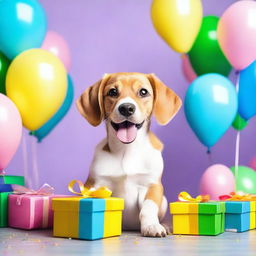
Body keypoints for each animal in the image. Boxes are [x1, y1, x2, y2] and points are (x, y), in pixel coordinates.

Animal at [76, 72, 182, 236]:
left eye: (143, 92)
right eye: (112, 92)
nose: (126, 108)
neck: (127, 150)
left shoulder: (151, 185)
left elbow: (148, 208)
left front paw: (152, 225)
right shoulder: (96, 184)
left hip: (163, 201)